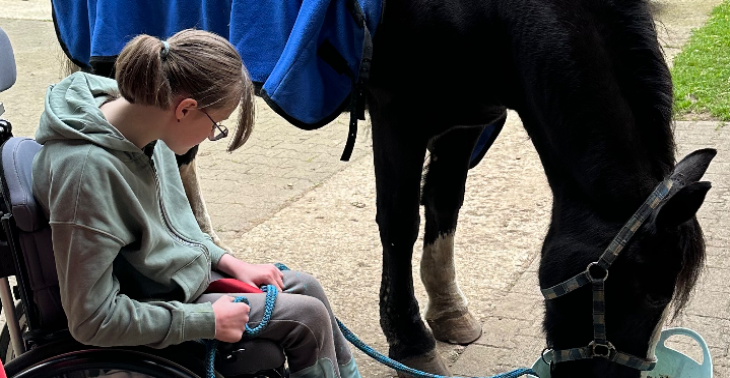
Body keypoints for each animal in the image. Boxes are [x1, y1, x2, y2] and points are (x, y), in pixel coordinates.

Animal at [58, 0, 712, 376]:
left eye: (663, 300)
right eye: (638, 290)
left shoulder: (467, 119)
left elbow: (445, 208)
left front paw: (449, 312)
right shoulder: (399, 116)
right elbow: (400, 220)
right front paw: (410, 340)